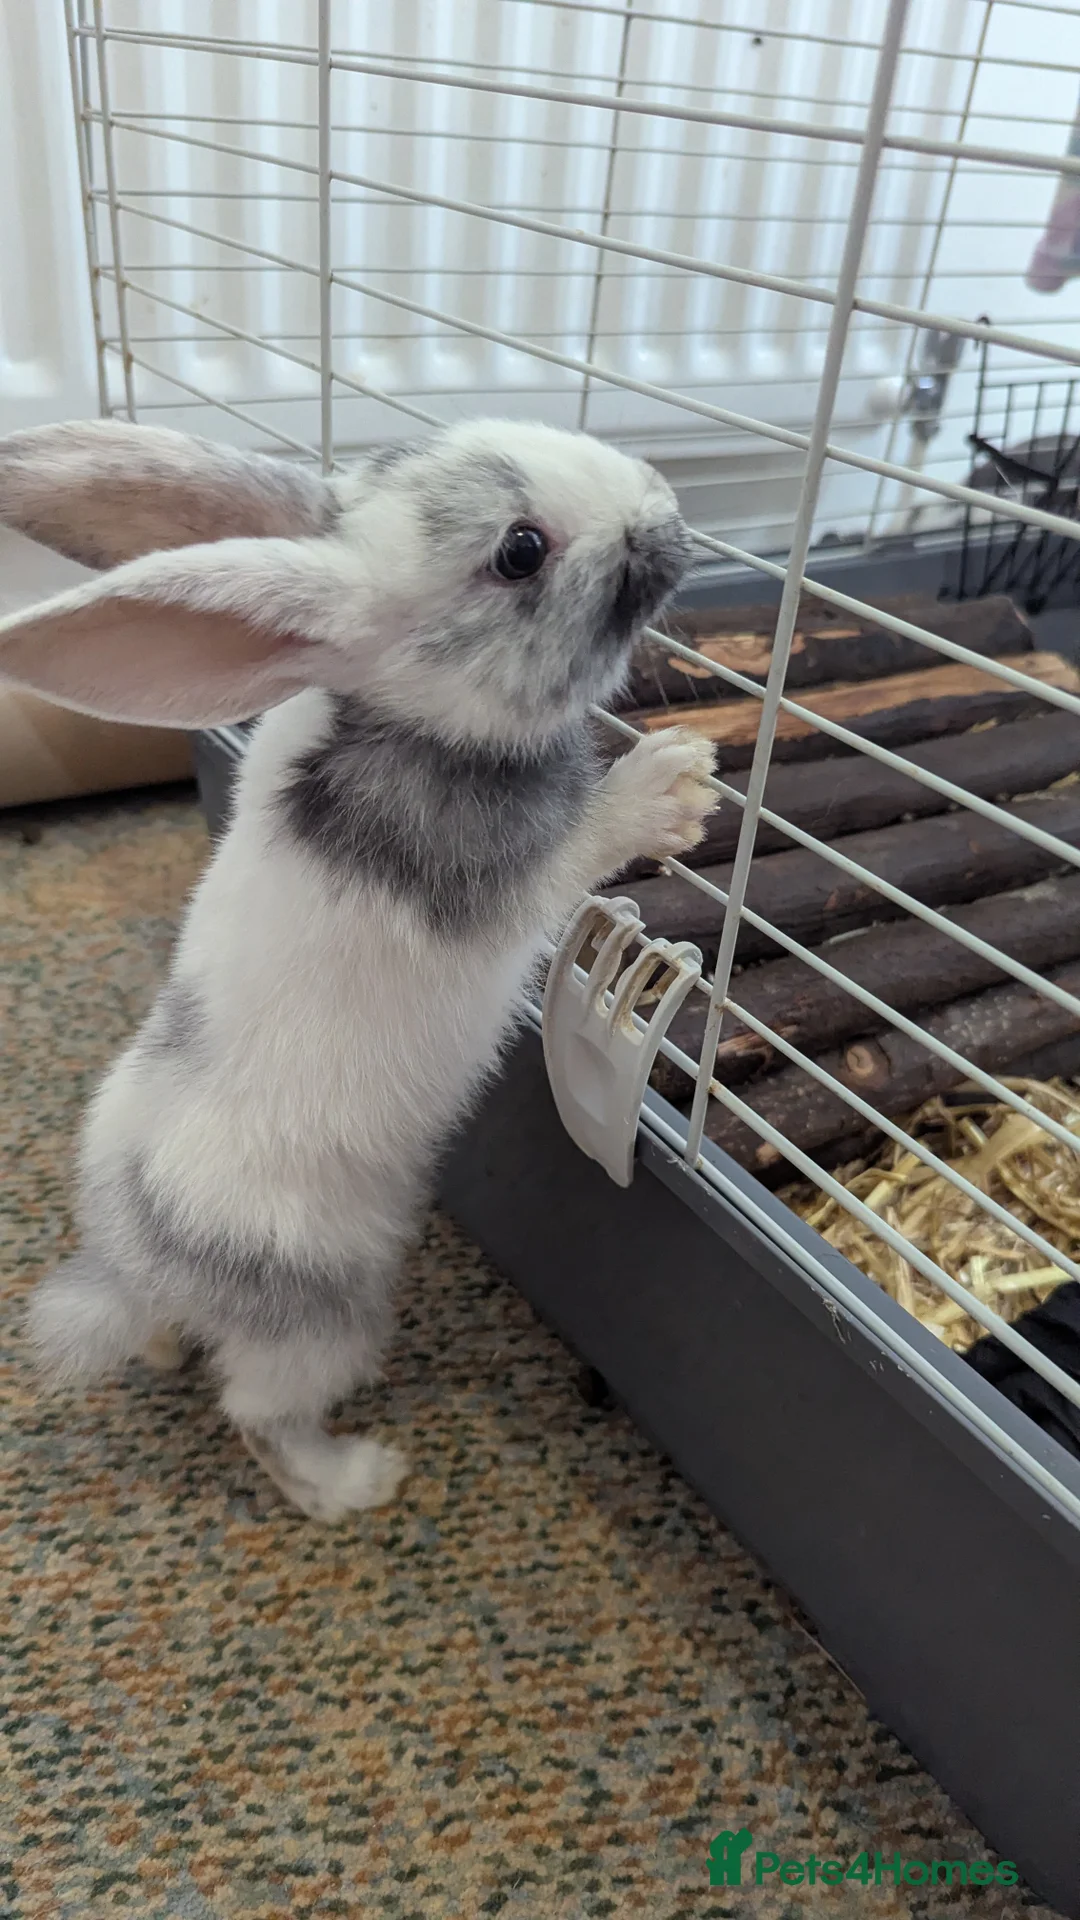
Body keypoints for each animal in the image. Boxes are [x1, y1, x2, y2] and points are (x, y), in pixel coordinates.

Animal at [0, 416, 717, 1522]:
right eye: (521, 550)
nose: (670, 512)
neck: (397, 715)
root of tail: (143, 1269)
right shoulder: (503, 887)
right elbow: (577, 853)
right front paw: (677, 785)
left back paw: (164, 1347)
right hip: (324, 1323)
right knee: (259, 1417)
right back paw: (357, 1480)